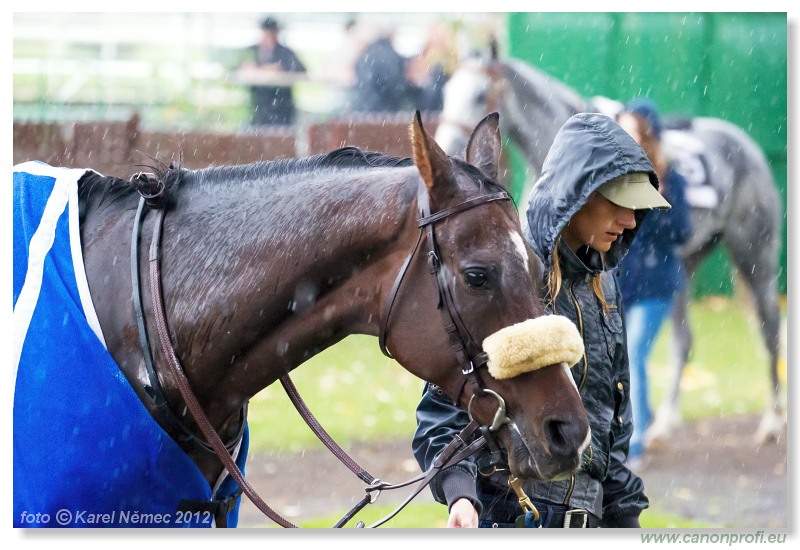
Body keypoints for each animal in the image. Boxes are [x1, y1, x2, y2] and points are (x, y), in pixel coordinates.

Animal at [434, 52, 784, 448]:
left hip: (755, 254)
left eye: (480, 94)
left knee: (771, 329)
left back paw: (772, 422)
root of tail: (746, 144)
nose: (447, 144)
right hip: (686, 264)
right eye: (447, 90)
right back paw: (666, 422)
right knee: (684, 341)